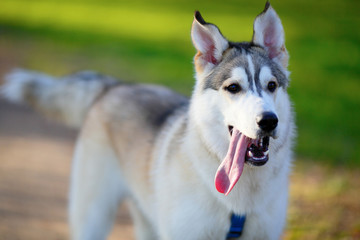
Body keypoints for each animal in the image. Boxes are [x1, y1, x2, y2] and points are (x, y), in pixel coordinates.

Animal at [1, 3, 294, 240]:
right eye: (233, 88)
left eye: (271, 85)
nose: (269, 121)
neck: (239, 203)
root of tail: (114, 86)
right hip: (93, 215)